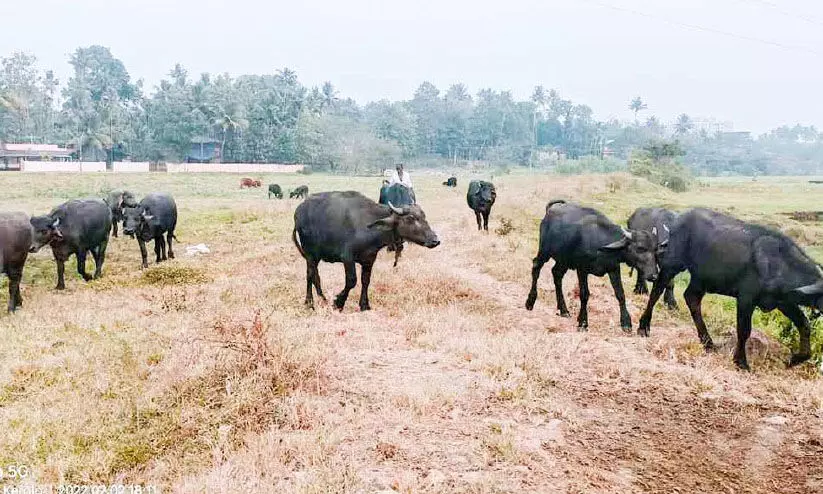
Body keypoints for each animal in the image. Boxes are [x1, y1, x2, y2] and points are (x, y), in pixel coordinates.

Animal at [292, 191, 440, 310]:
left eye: (424, 217)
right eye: (410, 218)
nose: (435, 240)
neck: (368, 225)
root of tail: (299, 212)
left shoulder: (369, 259)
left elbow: (365, 280)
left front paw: (364, 305)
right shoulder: (347, 258)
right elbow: (352, 281)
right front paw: (338, 302)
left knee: (315, 276)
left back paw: (322, 298)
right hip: (310, 254)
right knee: (310, 275)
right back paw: (309, 303)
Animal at [528, 201, 664, 332]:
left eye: (655, 250)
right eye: (640, 248)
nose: (653, 275)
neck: (600, 244)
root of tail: (550, 210)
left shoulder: (613, 268)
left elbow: (620, 294)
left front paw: (626, 323)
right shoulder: (582, 269)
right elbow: (584, 294)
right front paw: (583, 322)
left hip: (563, 260)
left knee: (556, 274)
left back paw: (563, 310)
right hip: (545, 251)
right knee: (536, 266)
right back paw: (530, 302)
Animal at [640, 207, 823, 370]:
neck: (778, 264)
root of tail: (677, 221)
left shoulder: (784, 302)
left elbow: (804, 325)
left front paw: (796, 359)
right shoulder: (746, 299)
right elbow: (744, 330)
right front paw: (741, 361)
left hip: (701, 278)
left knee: (691, 298)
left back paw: (708, 342)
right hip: (672, 264)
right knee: (657, 290)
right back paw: (643, 326)